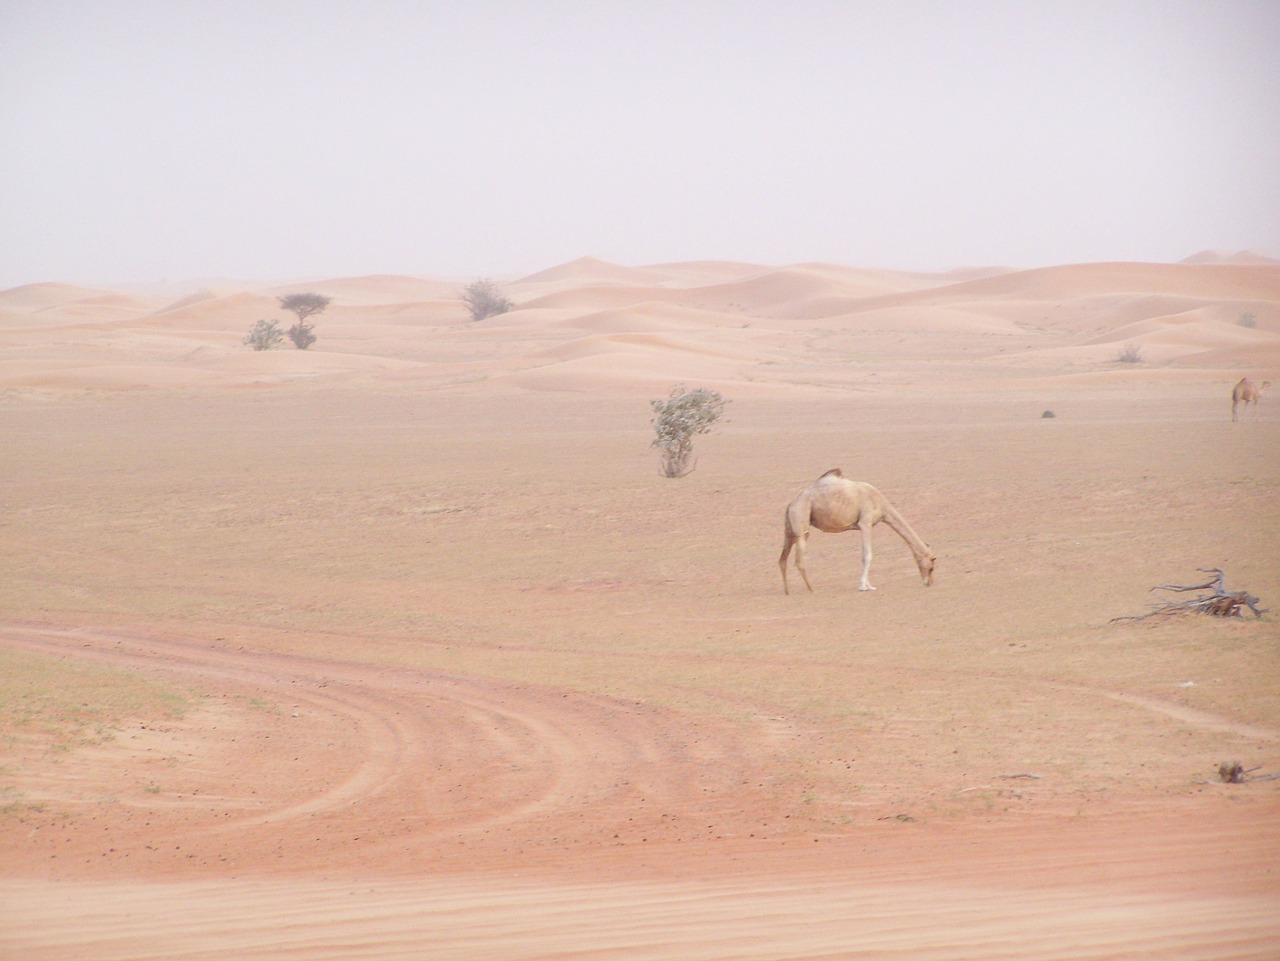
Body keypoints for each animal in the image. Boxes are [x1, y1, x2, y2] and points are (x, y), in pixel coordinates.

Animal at [773, 468, 936, 593]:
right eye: (932, 565)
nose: (929, 583)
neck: (882, 505)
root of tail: (791, 504)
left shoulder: (863, 525)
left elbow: (864, 554)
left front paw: (868, 585)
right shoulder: (866, 522)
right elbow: (867, 555)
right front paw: (865, 586)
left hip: (791, 529)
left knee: (783, 559)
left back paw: (787, 591)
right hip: (801, 520)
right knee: (799, 560)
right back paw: (811, 589)